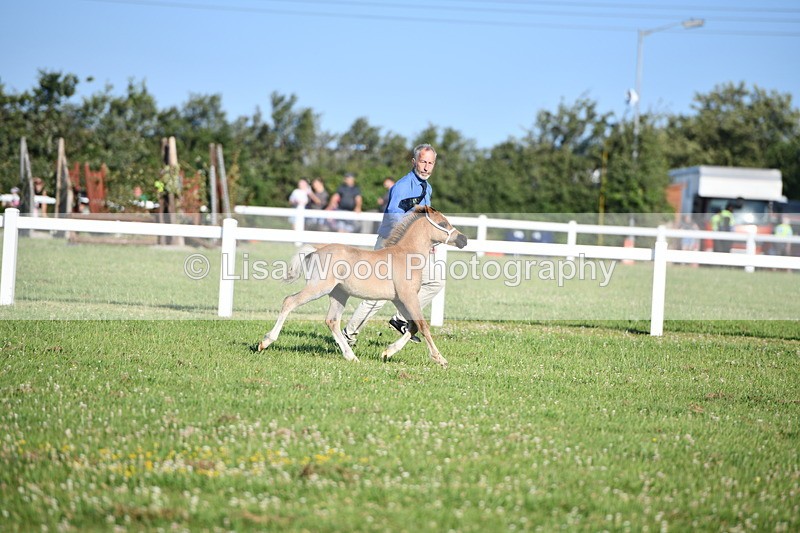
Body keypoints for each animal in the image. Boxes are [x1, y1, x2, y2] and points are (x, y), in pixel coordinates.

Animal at [257, 206, 468, 367]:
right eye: (443, 224)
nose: (463, 239)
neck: (406, 255)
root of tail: (317, 250)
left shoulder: (400, 300)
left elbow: (414, 325)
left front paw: (387, 353)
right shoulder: (408, 297)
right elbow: (423, 325)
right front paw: (440, 359)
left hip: (339, 294)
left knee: (332, 321)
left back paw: (351, 356)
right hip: (319, 287)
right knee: (289, 301)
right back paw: (265, 342)